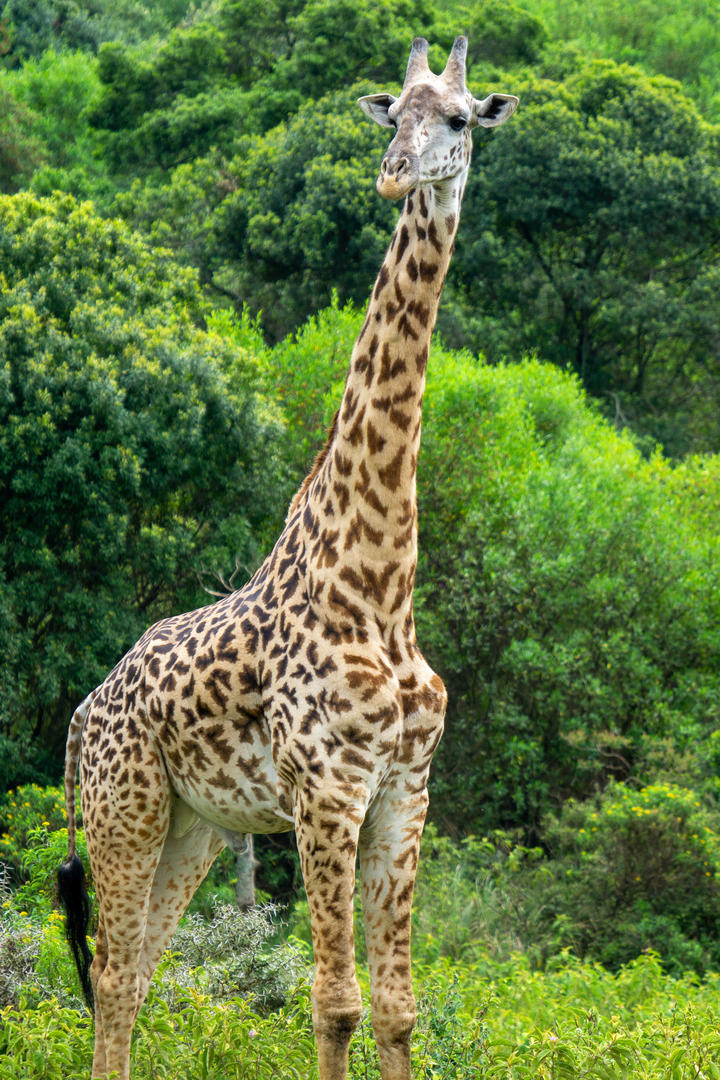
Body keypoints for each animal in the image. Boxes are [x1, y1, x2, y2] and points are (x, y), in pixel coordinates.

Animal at [57, 33, 518, 1080]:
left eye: (459, 118)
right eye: (393, 115)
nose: (394, 174)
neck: (380, 584)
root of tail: (83, 712)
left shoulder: (404, 794)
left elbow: (397, 1010)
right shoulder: (327, 793)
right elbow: (334, 1003)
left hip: (194, 826)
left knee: (133, 974)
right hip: (124, 808)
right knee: (111, 970)